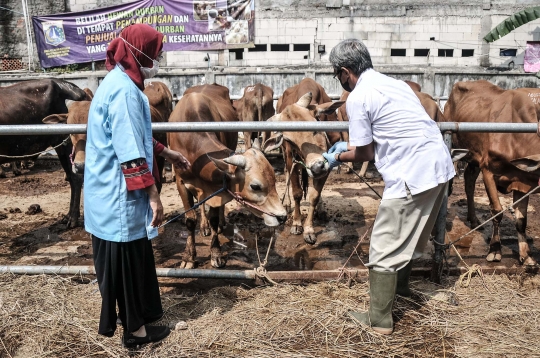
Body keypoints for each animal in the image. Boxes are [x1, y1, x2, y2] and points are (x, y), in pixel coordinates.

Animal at [169, 84, 288, 268]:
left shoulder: (216, 189)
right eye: (255, 186)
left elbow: (214, 218)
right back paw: (204, 227)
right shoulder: (181, 182)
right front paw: (188, 257)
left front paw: (216, 253)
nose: (282, 217)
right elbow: (190, 220)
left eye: (274, 180)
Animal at [264, 86, 344, 245]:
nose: (316, 167)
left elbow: (314, 196)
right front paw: (296, 224)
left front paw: (309, 229)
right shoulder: (293, 161)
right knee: (286, 173)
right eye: (290, 140)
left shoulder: (327, 166)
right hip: (286, 156)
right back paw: (287, 203)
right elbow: (297, 193)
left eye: (315, 127)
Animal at [442, 81, 540, 266]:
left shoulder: (521, 181)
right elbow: (497, 211)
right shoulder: (488, 171)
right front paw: (495, 250)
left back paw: (474, 220)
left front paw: (526, 255)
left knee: (469, 181)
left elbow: (521, 221)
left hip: (473, 156)